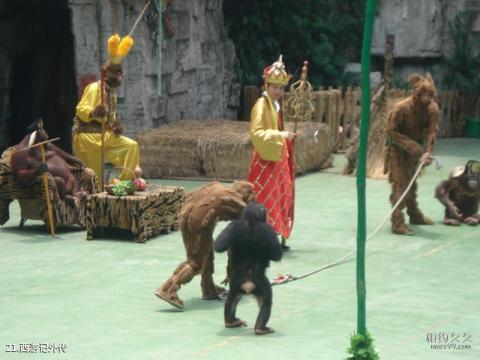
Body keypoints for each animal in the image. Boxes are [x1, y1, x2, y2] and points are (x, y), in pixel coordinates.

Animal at [214, 202, 282, 334]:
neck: (251, 220)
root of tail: (248, 283)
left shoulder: (232, 225)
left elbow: (219, 245)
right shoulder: (268, 229)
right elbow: (276, 255)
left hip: (235, 284)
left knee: (231, 300)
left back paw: (231, 323)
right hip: (262, 285)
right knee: (267, 302)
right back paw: (261, 329)